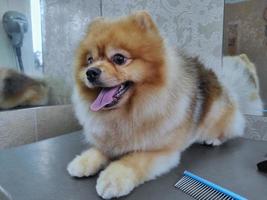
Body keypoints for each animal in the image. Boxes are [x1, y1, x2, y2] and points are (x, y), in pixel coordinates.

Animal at [67, 11, 264, 199]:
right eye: (90, 60)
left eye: (119, 59)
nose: (90, 72)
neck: (128, 113)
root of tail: (219, 79)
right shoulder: (111, 140)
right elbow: (100, 149)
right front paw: (84, 161)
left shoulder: (161, 150)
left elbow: (134, 160)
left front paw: (114, 178)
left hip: (219, 115)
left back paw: (212, 139)